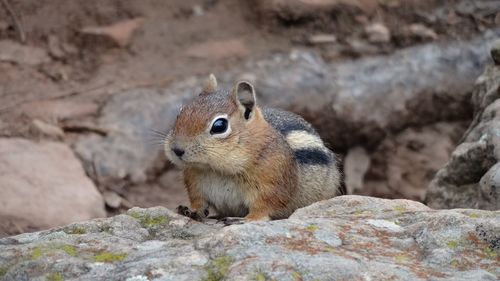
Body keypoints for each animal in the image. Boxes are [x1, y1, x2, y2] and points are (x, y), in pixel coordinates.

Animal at [164, 74, 344, 223]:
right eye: (180, 113)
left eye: (219, 126)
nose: (176, 149)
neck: (216, 169)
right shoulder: (195, 183)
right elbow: (198, 202)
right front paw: (191, 210)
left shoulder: (272, 184)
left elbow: (264, 207)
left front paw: (246, 219)